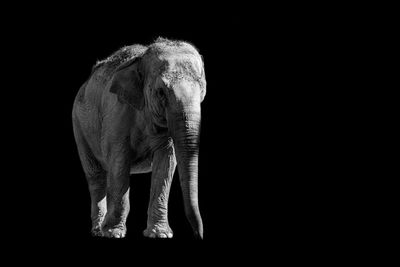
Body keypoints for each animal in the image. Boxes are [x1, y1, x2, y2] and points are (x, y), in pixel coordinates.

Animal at [72, 38, 208, 241]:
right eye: (161, 92)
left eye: (202, 90)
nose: (199, 235)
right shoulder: (117, 114)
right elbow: (119, 162)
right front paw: (113, 234)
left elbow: (166, 164)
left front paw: (160, 234)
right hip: (79, 124)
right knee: (96, 176)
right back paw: (98, 230)